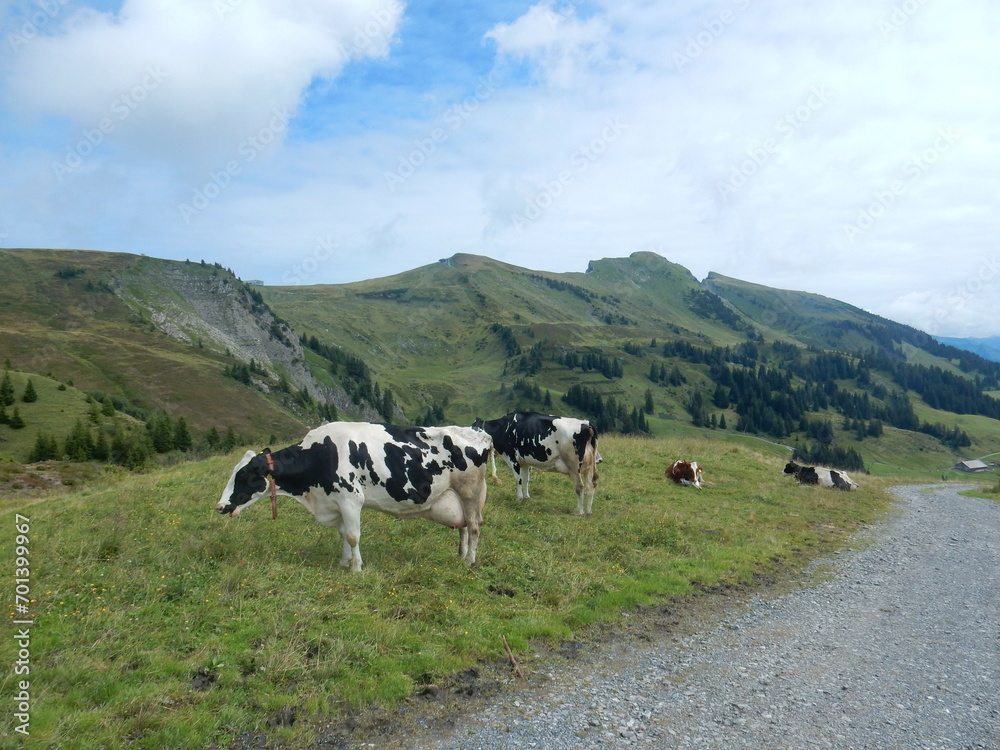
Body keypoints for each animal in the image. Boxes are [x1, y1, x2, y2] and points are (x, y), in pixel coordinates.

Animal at [215, 424, 492, 576]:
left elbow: (352, 535)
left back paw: (469, 561)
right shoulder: (336, 502)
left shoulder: (350, 499)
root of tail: (477, 432)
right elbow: (343, 534)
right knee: (464, 527)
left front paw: (356, 568)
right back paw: (461, 555)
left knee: (474, 526)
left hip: (471, 491)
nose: (220, 506)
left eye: (243, 475)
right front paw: (344, 562)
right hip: (458, 496)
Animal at [470, 412, 600, 516]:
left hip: (574, 466)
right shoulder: (525, 462)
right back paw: (588, 511)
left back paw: (579, 511)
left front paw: (519, 498)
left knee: (580, 487)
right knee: (590, 486)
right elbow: (526, 479)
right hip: (589, 467)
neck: (504, 428)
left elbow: (518, 479)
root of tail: (586, 423)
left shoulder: (513, 458)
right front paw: (526, 497)